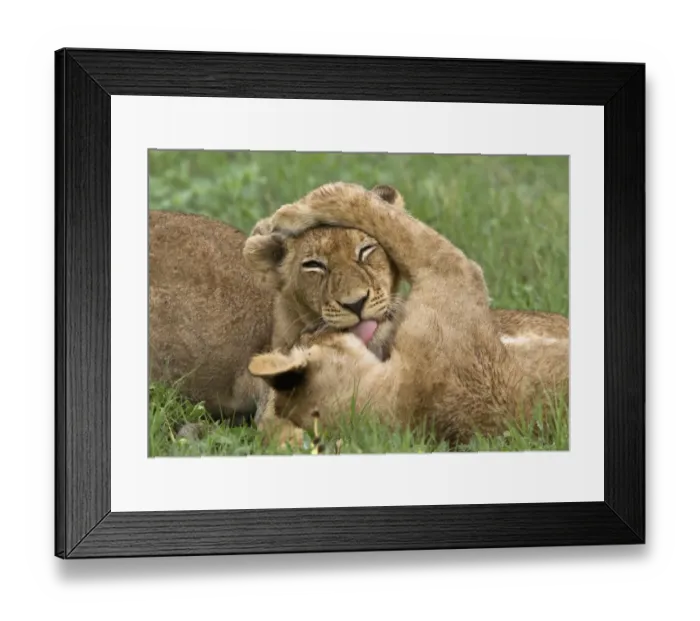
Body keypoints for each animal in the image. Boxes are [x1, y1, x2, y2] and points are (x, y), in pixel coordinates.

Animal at [247, 182, 569, 447]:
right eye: (314, 265)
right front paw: (290, 214)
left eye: (365, 250)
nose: (355, 303)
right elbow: (362, 203)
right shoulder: (448, 269)